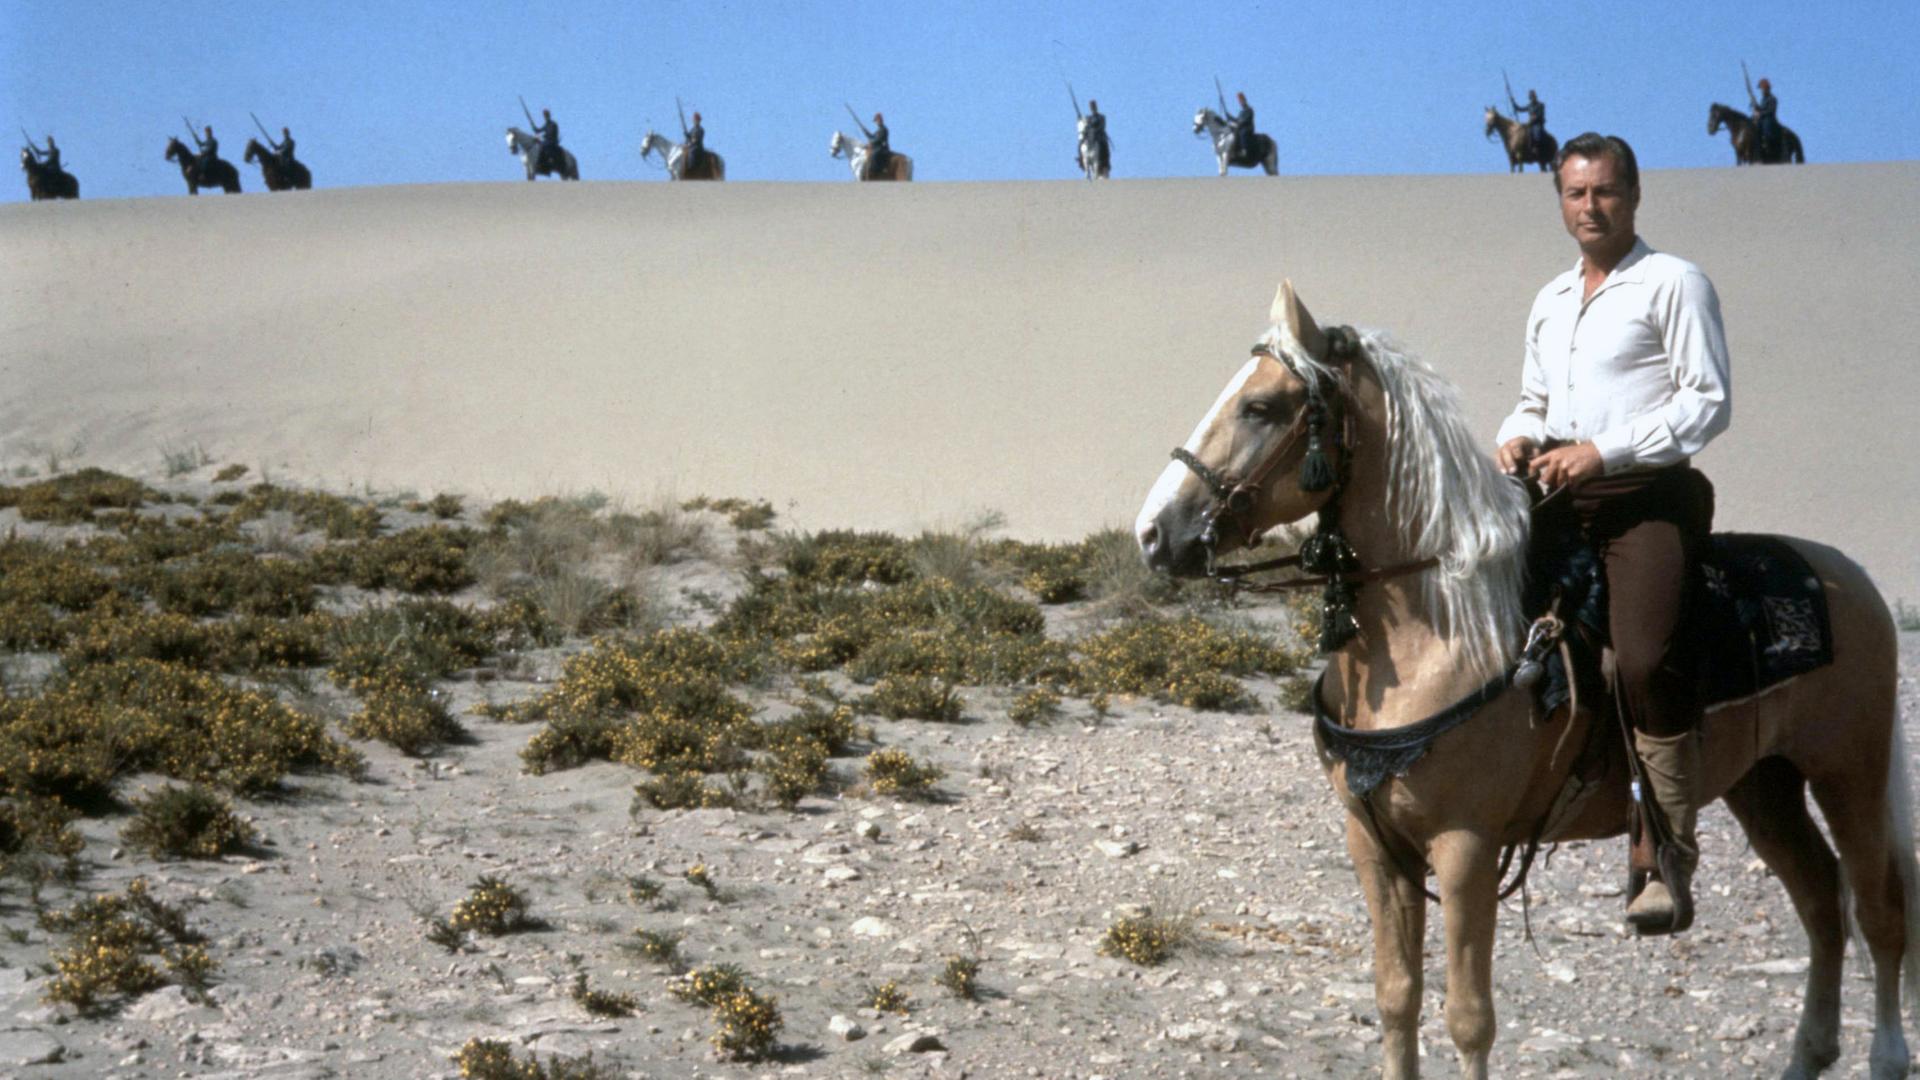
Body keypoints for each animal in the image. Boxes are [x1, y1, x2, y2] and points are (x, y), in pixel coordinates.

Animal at [1135, 280, 1916, 1079]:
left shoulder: (1466, 845)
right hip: (1763, 783)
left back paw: (1885, 1055)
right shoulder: (1375, 843)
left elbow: (1468, 1018)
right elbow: (1396, 997)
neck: (1441, 628)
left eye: (1261, 406)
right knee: (1821, 902)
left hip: (1847, 771)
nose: (1154, 533)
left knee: (1879, 911)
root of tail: (1850, 577)